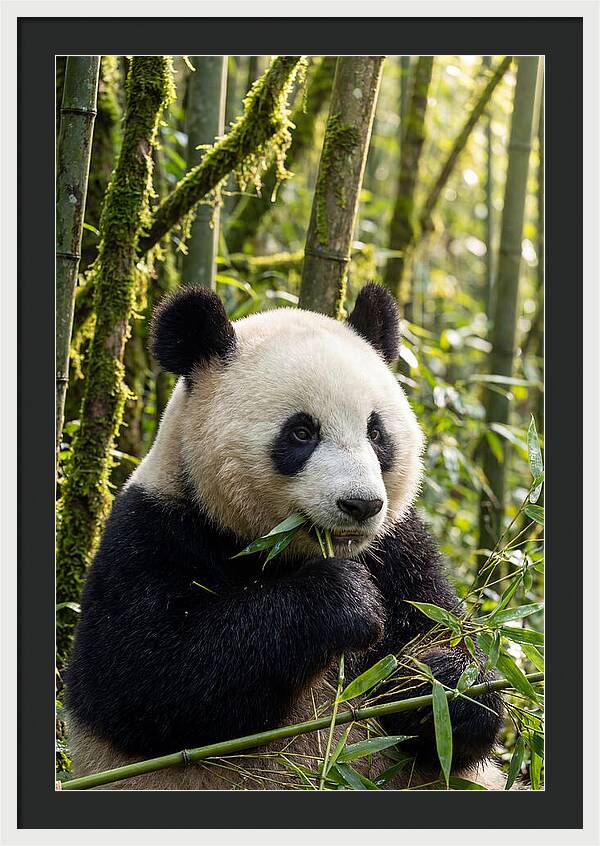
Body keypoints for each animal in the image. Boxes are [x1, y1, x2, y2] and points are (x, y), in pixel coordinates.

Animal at [65, 282, 506, 790]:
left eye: (376, 433)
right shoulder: (152, 533)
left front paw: (440, 683)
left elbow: (448, 649)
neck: (282, 549)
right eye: (301, 432)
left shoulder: (399, 549)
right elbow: (147, 678)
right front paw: (345, 600)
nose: (360, 505)